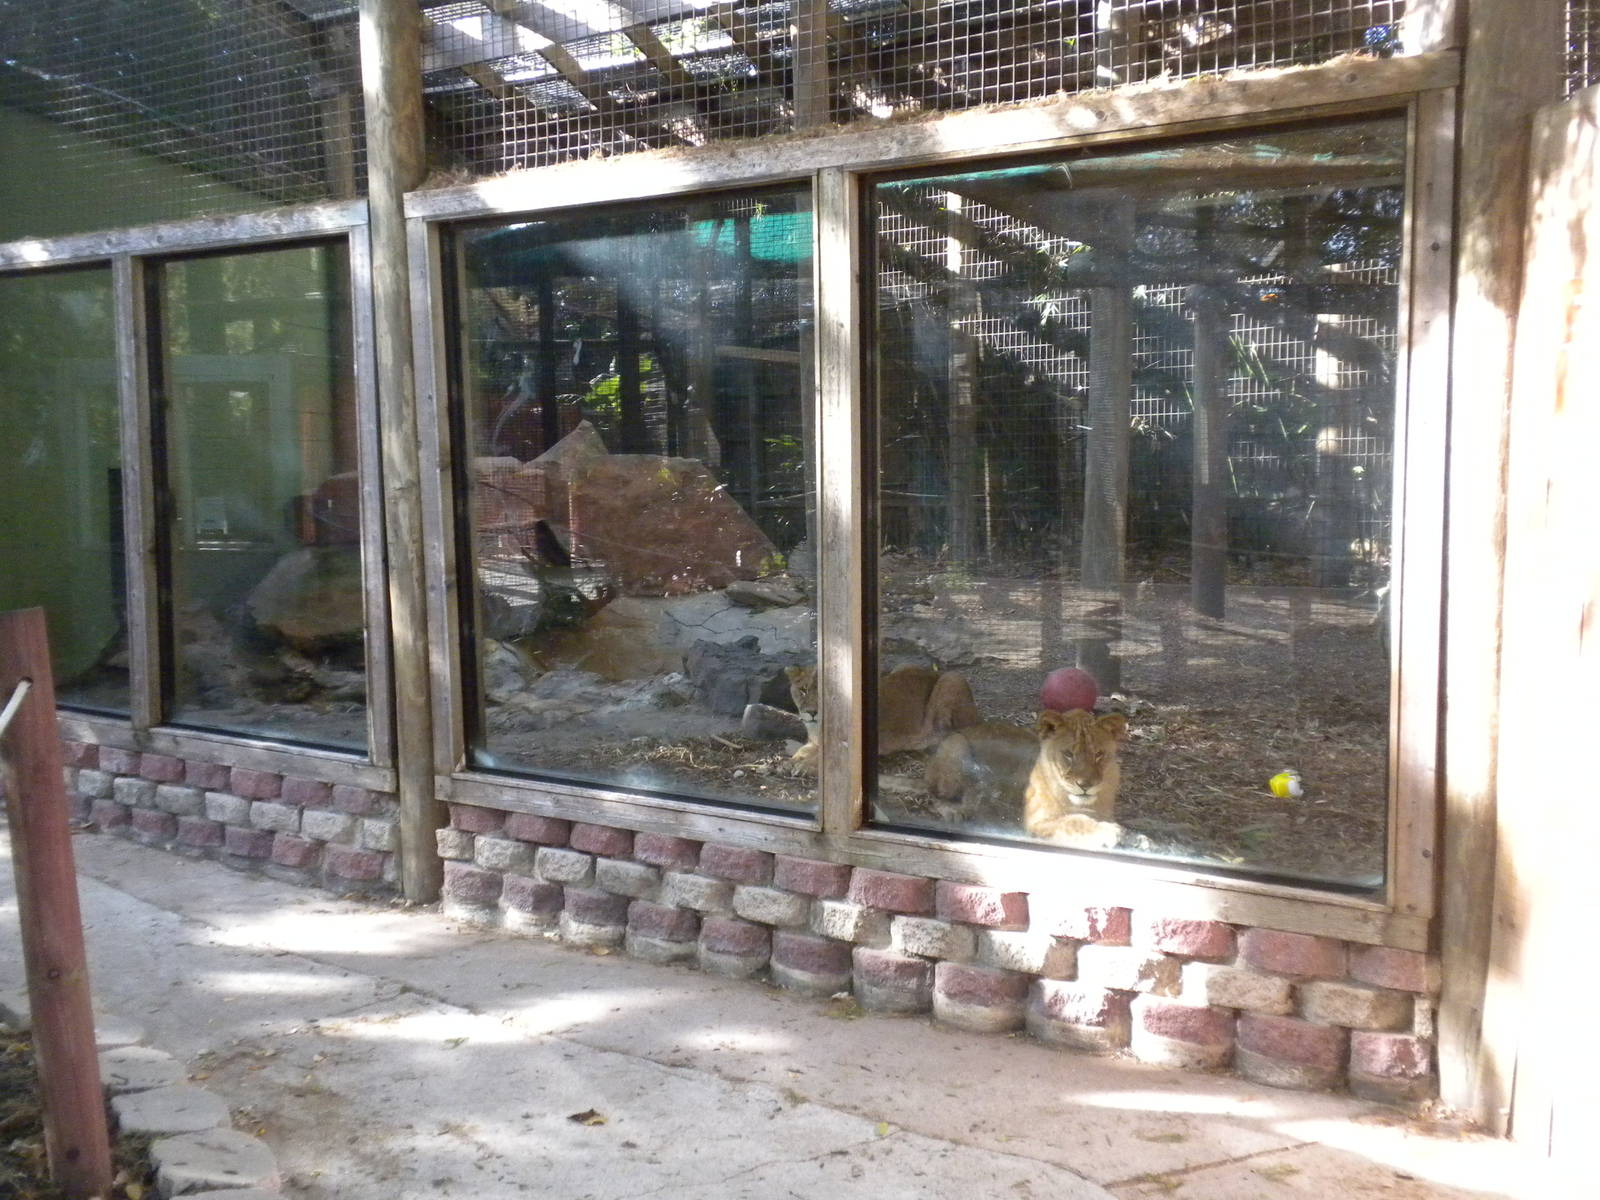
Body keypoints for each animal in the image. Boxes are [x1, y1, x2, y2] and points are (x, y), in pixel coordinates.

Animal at [783, 663, 980, 775]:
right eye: (803, 690)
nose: (812, 712)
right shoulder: (814, 742)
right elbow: (805, 750)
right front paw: (792, 761)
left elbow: (826, 758)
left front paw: (805, 766)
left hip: (952, 679)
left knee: (957, 731)